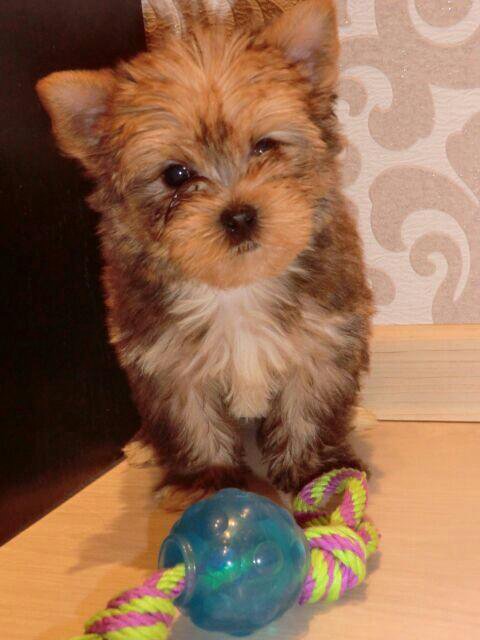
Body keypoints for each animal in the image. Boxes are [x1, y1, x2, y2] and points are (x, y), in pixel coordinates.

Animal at [37, 0, 373, 503]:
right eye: (176, 175)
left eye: (265, 146)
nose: (239, 216)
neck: (235, 287)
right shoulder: (167, 362)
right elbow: (192, 422)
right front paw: (207, 482)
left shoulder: (321, 340)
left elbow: (306, 409)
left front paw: (316, 473)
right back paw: (142, 446)